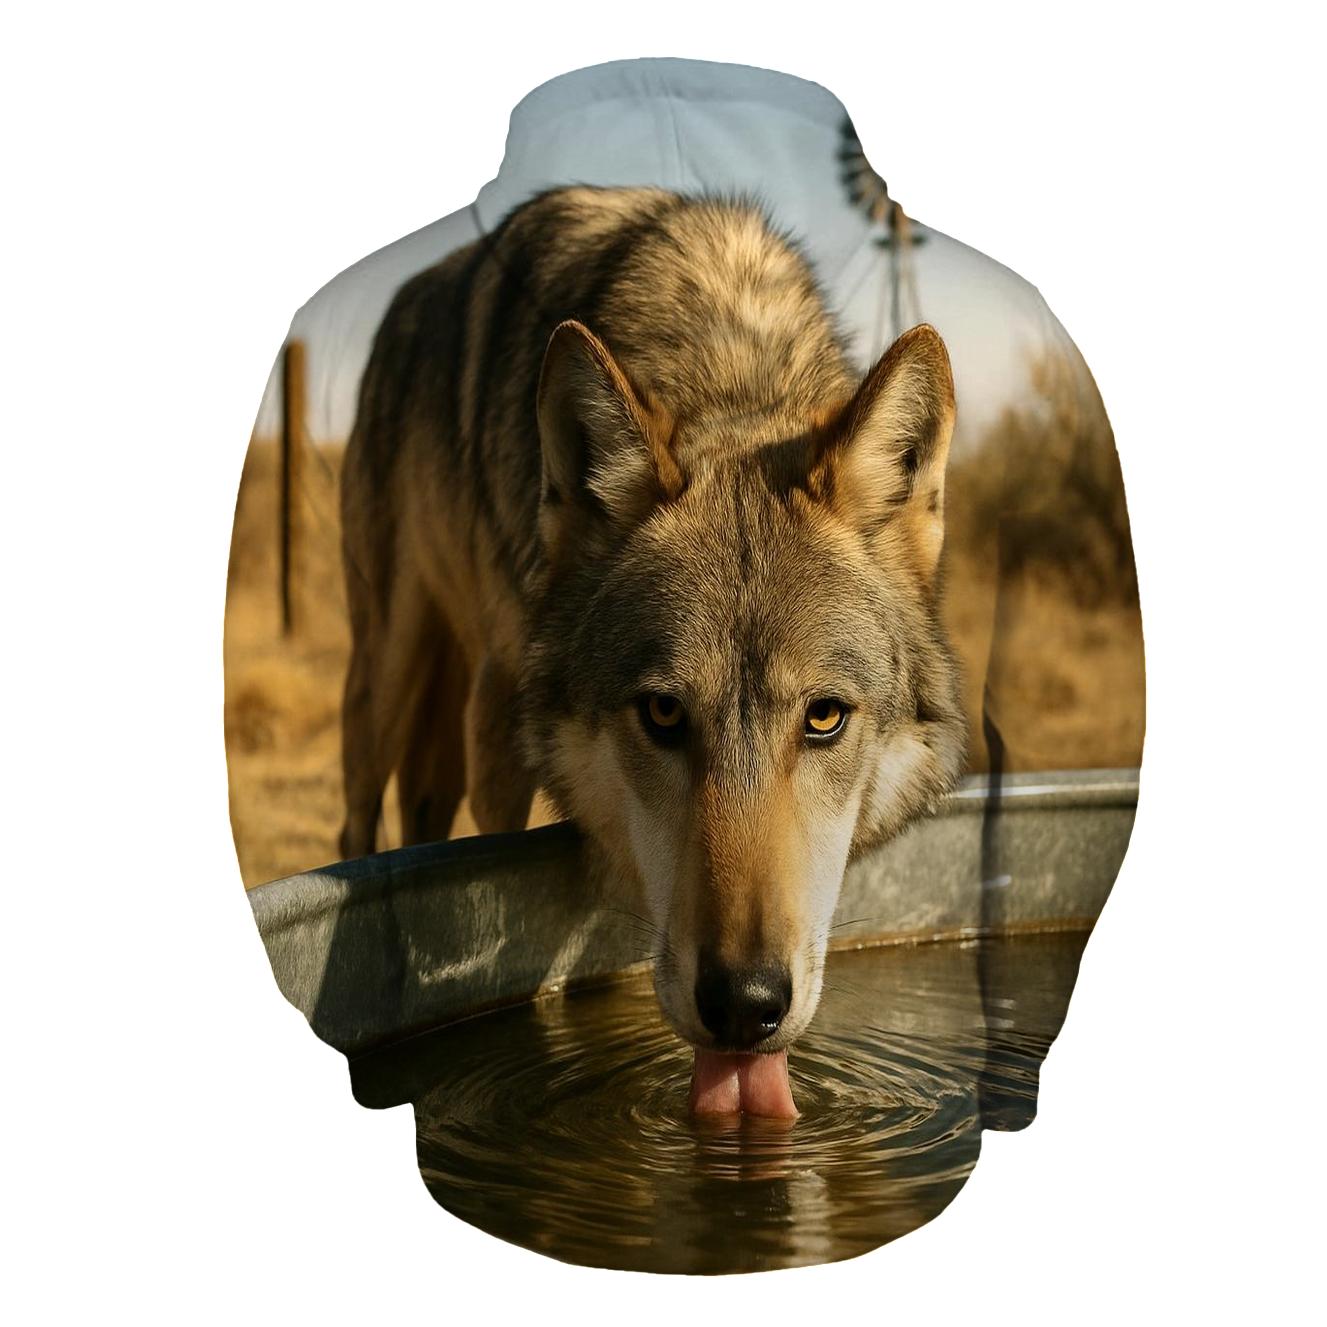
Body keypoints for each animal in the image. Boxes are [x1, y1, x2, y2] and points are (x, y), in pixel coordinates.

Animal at [339, 186, 966, 1109]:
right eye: (664, 712)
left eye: (823, 718)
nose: (744, 1004)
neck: (728, 368)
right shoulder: (497, 724)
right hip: (385, 676)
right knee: (358, 816)